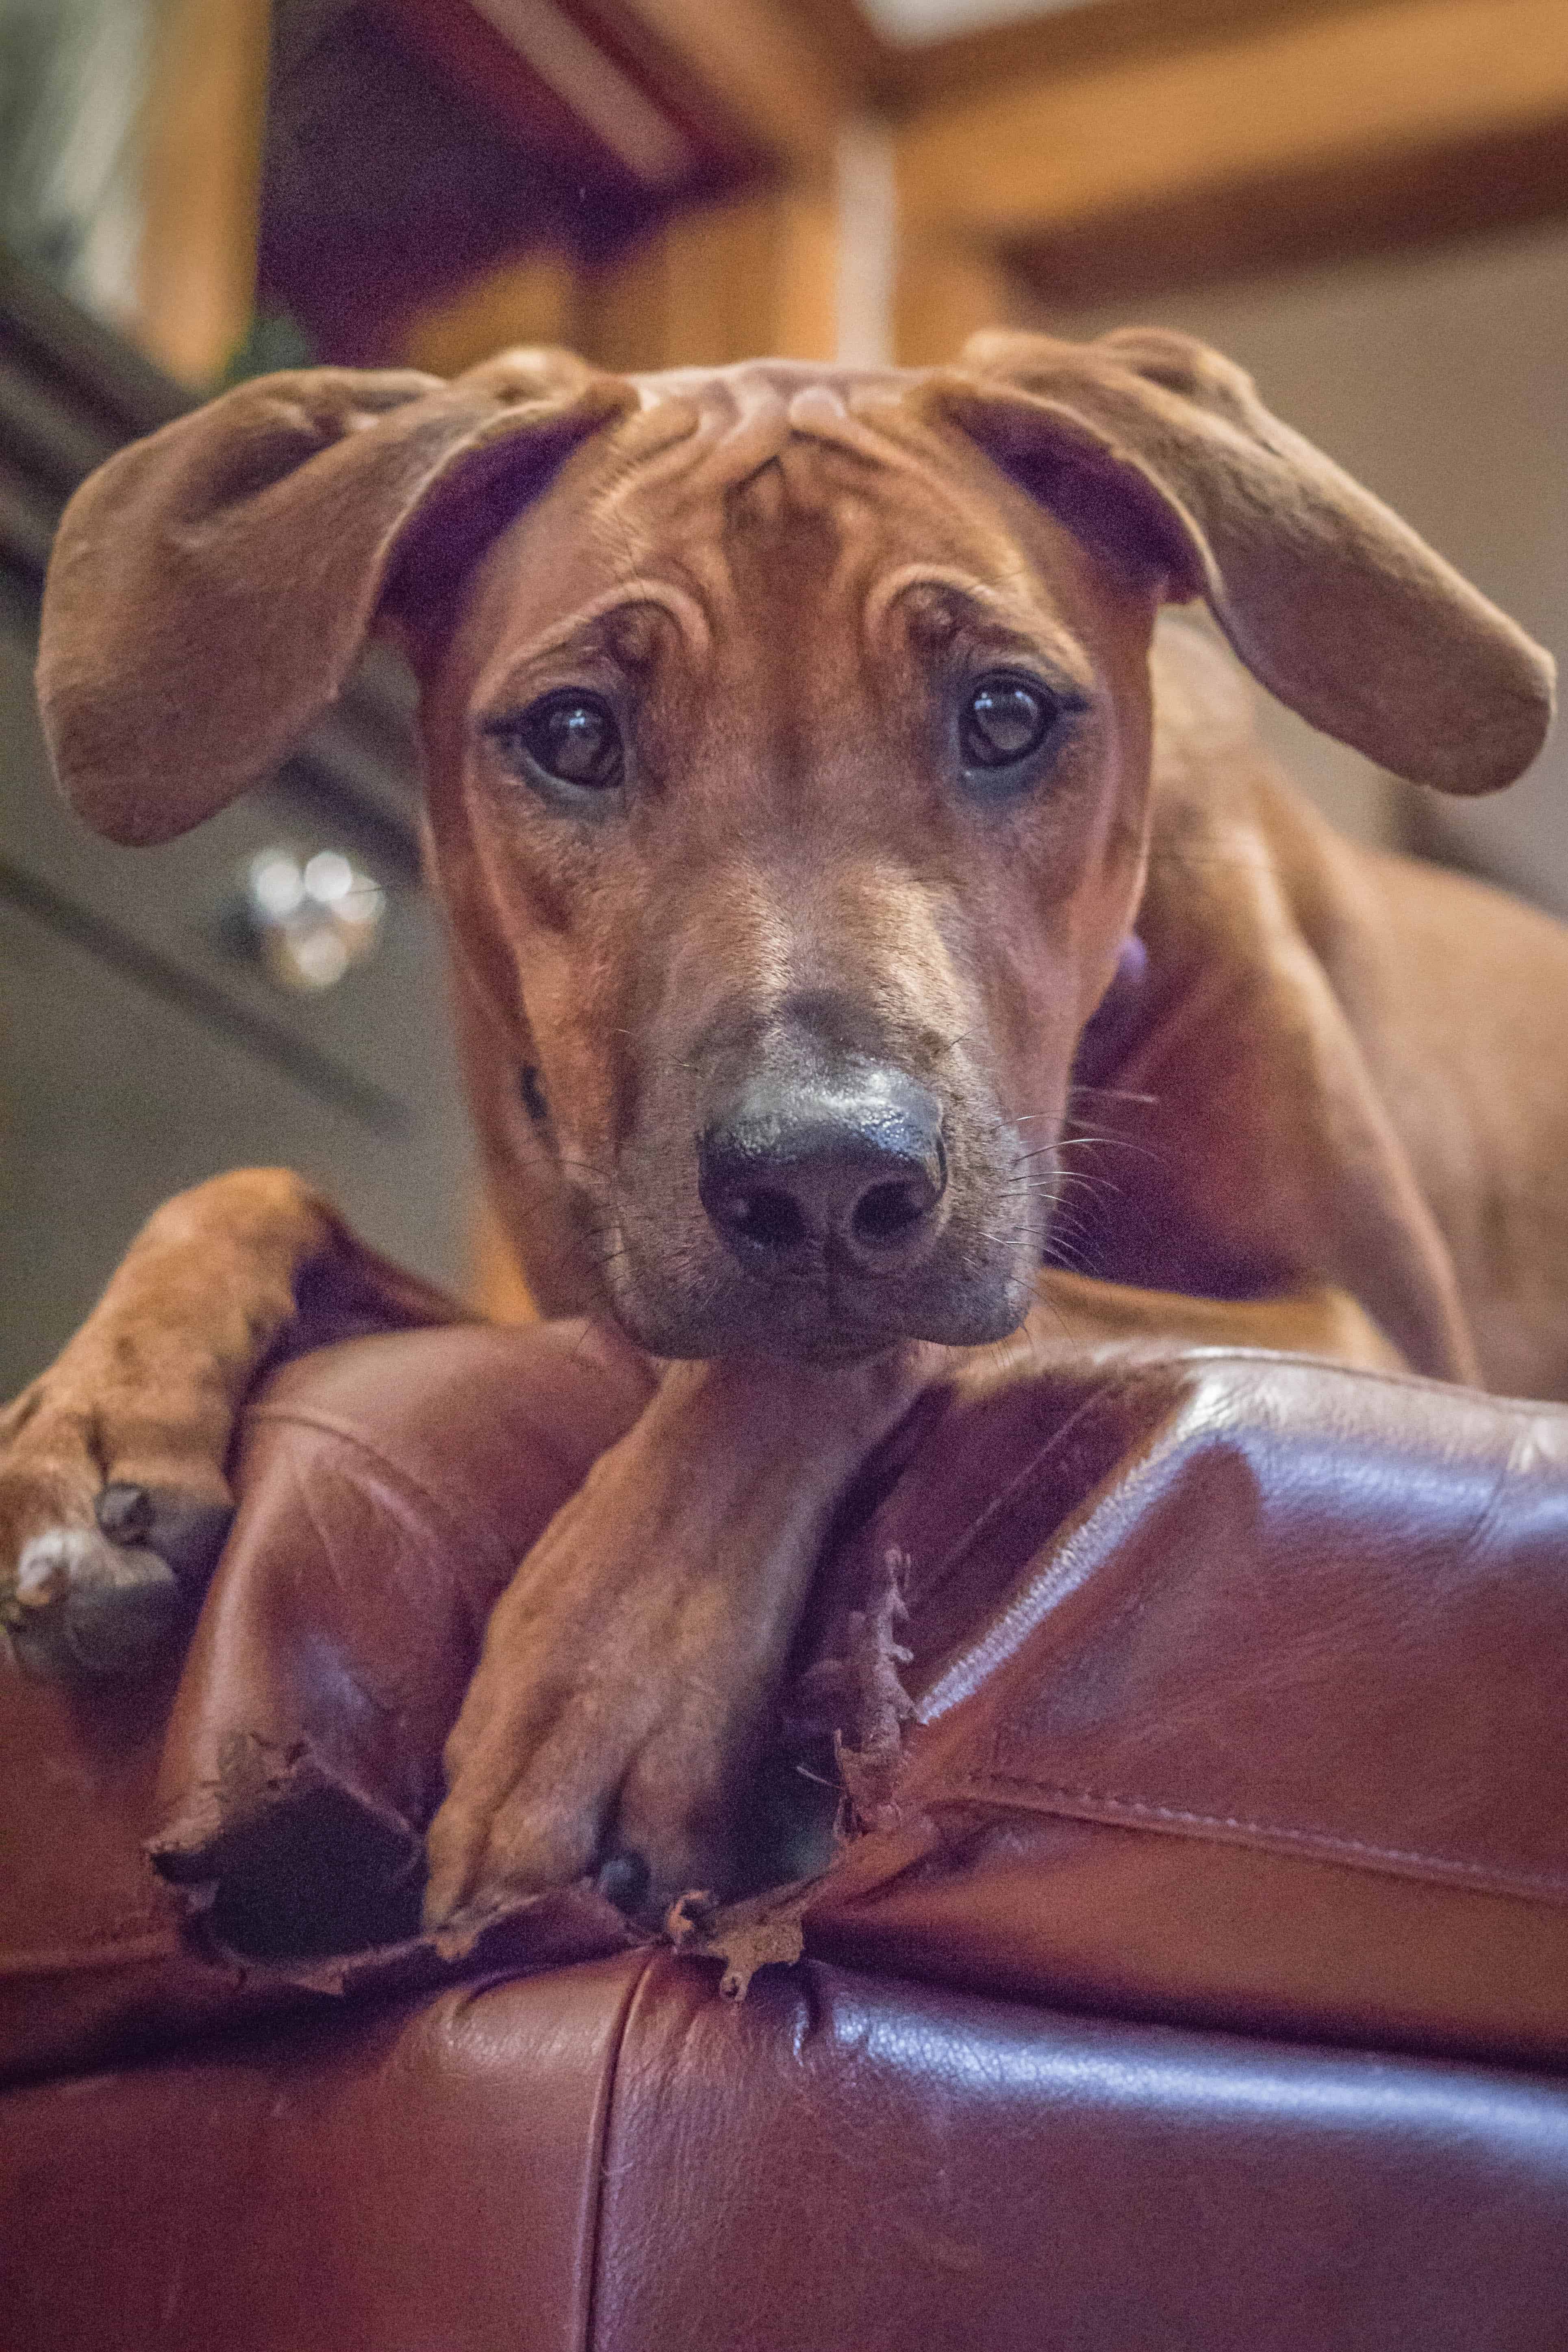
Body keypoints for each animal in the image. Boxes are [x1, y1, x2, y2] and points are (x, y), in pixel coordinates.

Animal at [0, 327, 1561, 1928]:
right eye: (573, 731)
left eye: (1005, 714)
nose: (824, 1175)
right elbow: (257, 1182)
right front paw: (93, 1419)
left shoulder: (1367, 1332)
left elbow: (814, 1354)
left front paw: (606, 1678)